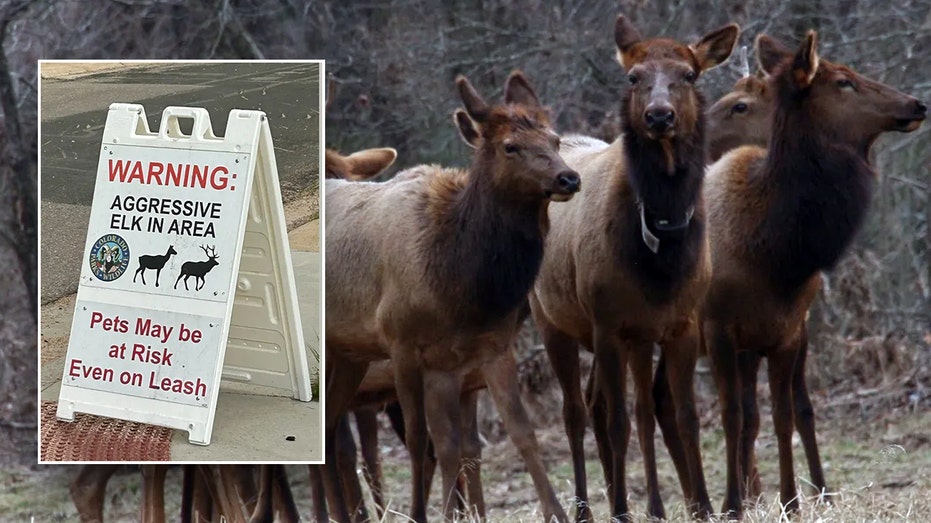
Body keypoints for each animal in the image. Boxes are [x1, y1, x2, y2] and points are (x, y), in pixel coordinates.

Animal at [324, 70, 580, 523]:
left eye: (554, 138)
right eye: (509, 146)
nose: (568, 178)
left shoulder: (484, 353)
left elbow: (507, 434)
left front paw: (555, 513)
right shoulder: (403, 345)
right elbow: (422, 441)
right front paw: (423, 514)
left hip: (348, 356)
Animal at [528, 14, 740, 520]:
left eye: (689, 74)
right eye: (633, 76)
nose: (659, 115)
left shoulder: (680, 324)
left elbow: (683, 416)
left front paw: (702, 505)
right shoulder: (608, 324)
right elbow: (619, 421)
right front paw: (623, 507)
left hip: (635, 338)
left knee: (623, 407)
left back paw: (649, 505)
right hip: (553, 320)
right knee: (577, 411)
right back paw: (587, 507)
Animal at [704, 31, 928, 516]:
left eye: (739, 105)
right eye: (843, 81)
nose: (917, 103)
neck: (772, 248)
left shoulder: (787, 330)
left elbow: (786, 414)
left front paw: (793, 500)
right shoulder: (718, 329)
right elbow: (731, 416)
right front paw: (732, 503)